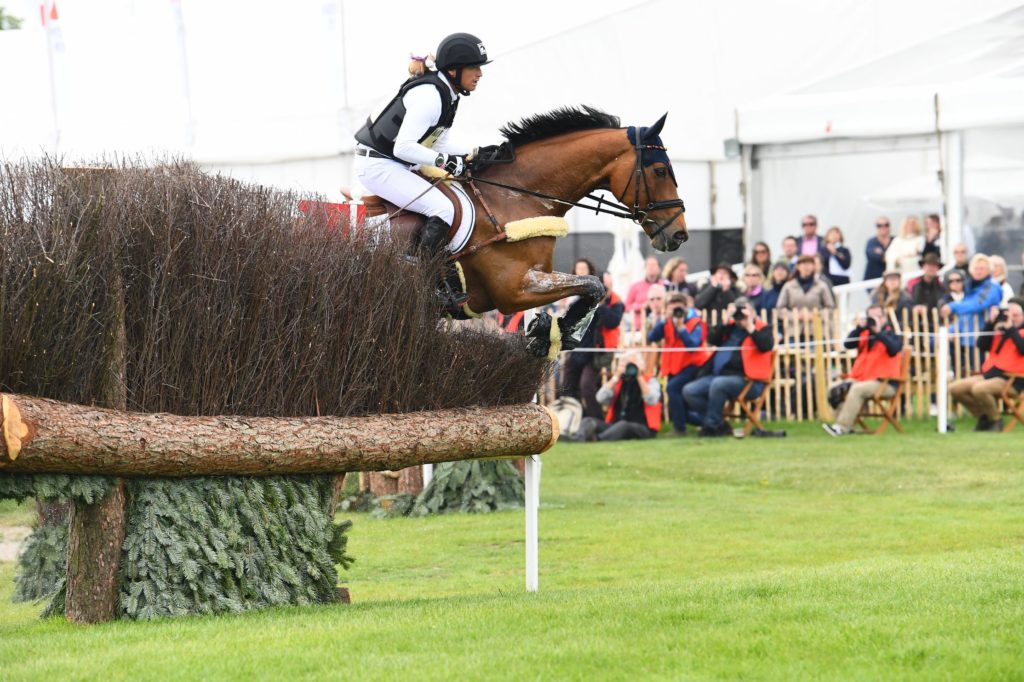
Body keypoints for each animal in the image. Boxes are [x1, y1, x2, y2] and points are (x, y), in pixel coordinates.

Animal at [368, 104, 688, 356]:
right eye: (660, 170)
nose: (679, 234)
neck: (515, 198)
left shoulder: (539, 276)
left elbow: (593, 287)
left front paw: (549, 332)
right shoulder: (514, 290)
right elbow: (593, 284)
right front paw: (553, 330)